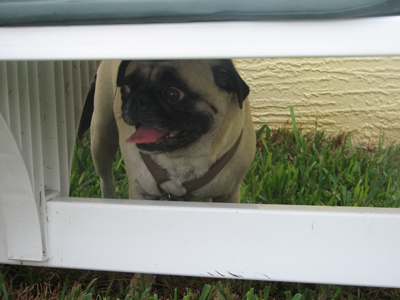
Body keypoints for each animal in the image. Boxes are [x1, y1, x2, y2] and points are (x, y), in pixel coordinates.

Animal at [87, 59, 256, 203]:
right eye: (125, 89)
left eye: (173, 94)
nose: (139, 99)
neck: (184, 158)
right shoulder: (141, 193)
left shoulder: (228, 195)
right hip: (101, 137)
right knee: (106, 177)